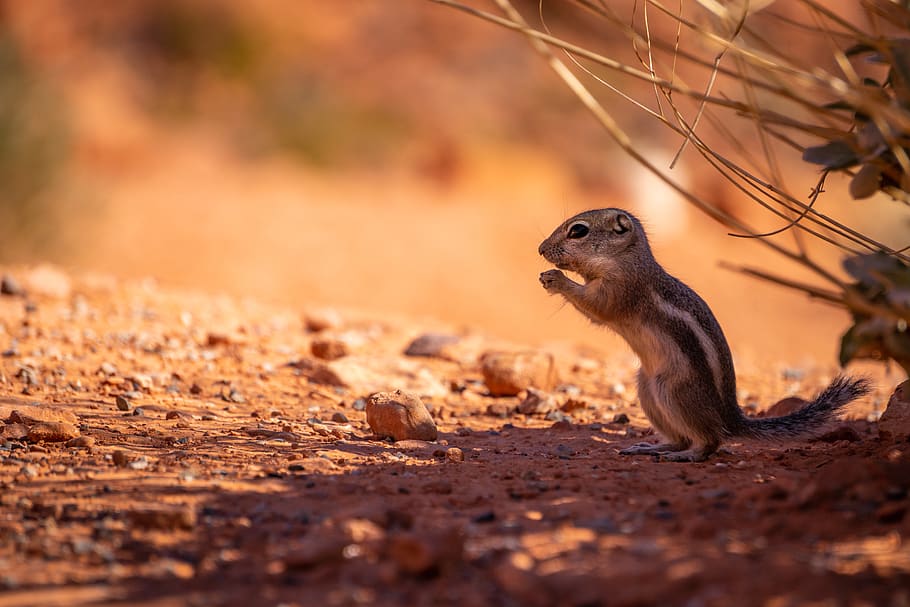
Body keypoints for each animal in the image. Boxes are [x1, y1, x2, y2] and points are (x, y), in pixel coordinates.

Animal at [538, 208, 871, 462]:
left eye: (578, 231)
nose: (540, 249)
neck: (624, 259)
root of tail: (730, 417)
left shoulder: (621, 291)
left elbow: (597, 308)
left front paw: (556, 279)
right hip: (647, 389)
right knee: (683, 438)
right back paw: (652, 448)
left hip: (674, 391)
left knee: (710, 441)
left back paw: (684, 455)